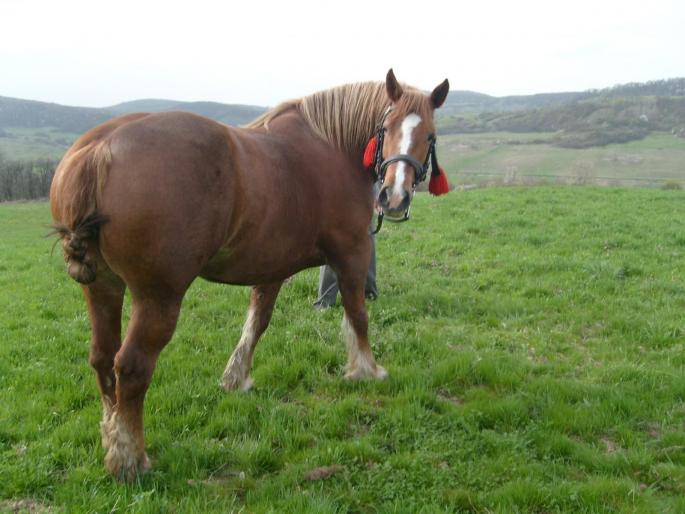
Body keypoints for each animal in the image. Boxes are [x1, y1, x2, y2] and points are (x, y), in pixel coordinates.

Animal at [52, 68, 448, 476]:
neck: (333, 147)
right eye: (386, 127)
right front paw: (366, 369)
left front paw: (236, 377)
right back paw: (131, 458)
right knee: (131, 366)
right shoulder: (352, 253)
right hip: (158, 297)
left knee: (102, 358)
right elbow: (357, 314)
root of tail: (100, 149)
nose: (394, 197)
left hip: (103, 287)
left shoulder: (271, 267)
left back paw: (113, 437)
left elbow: (256, 322)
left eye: (429, 135)